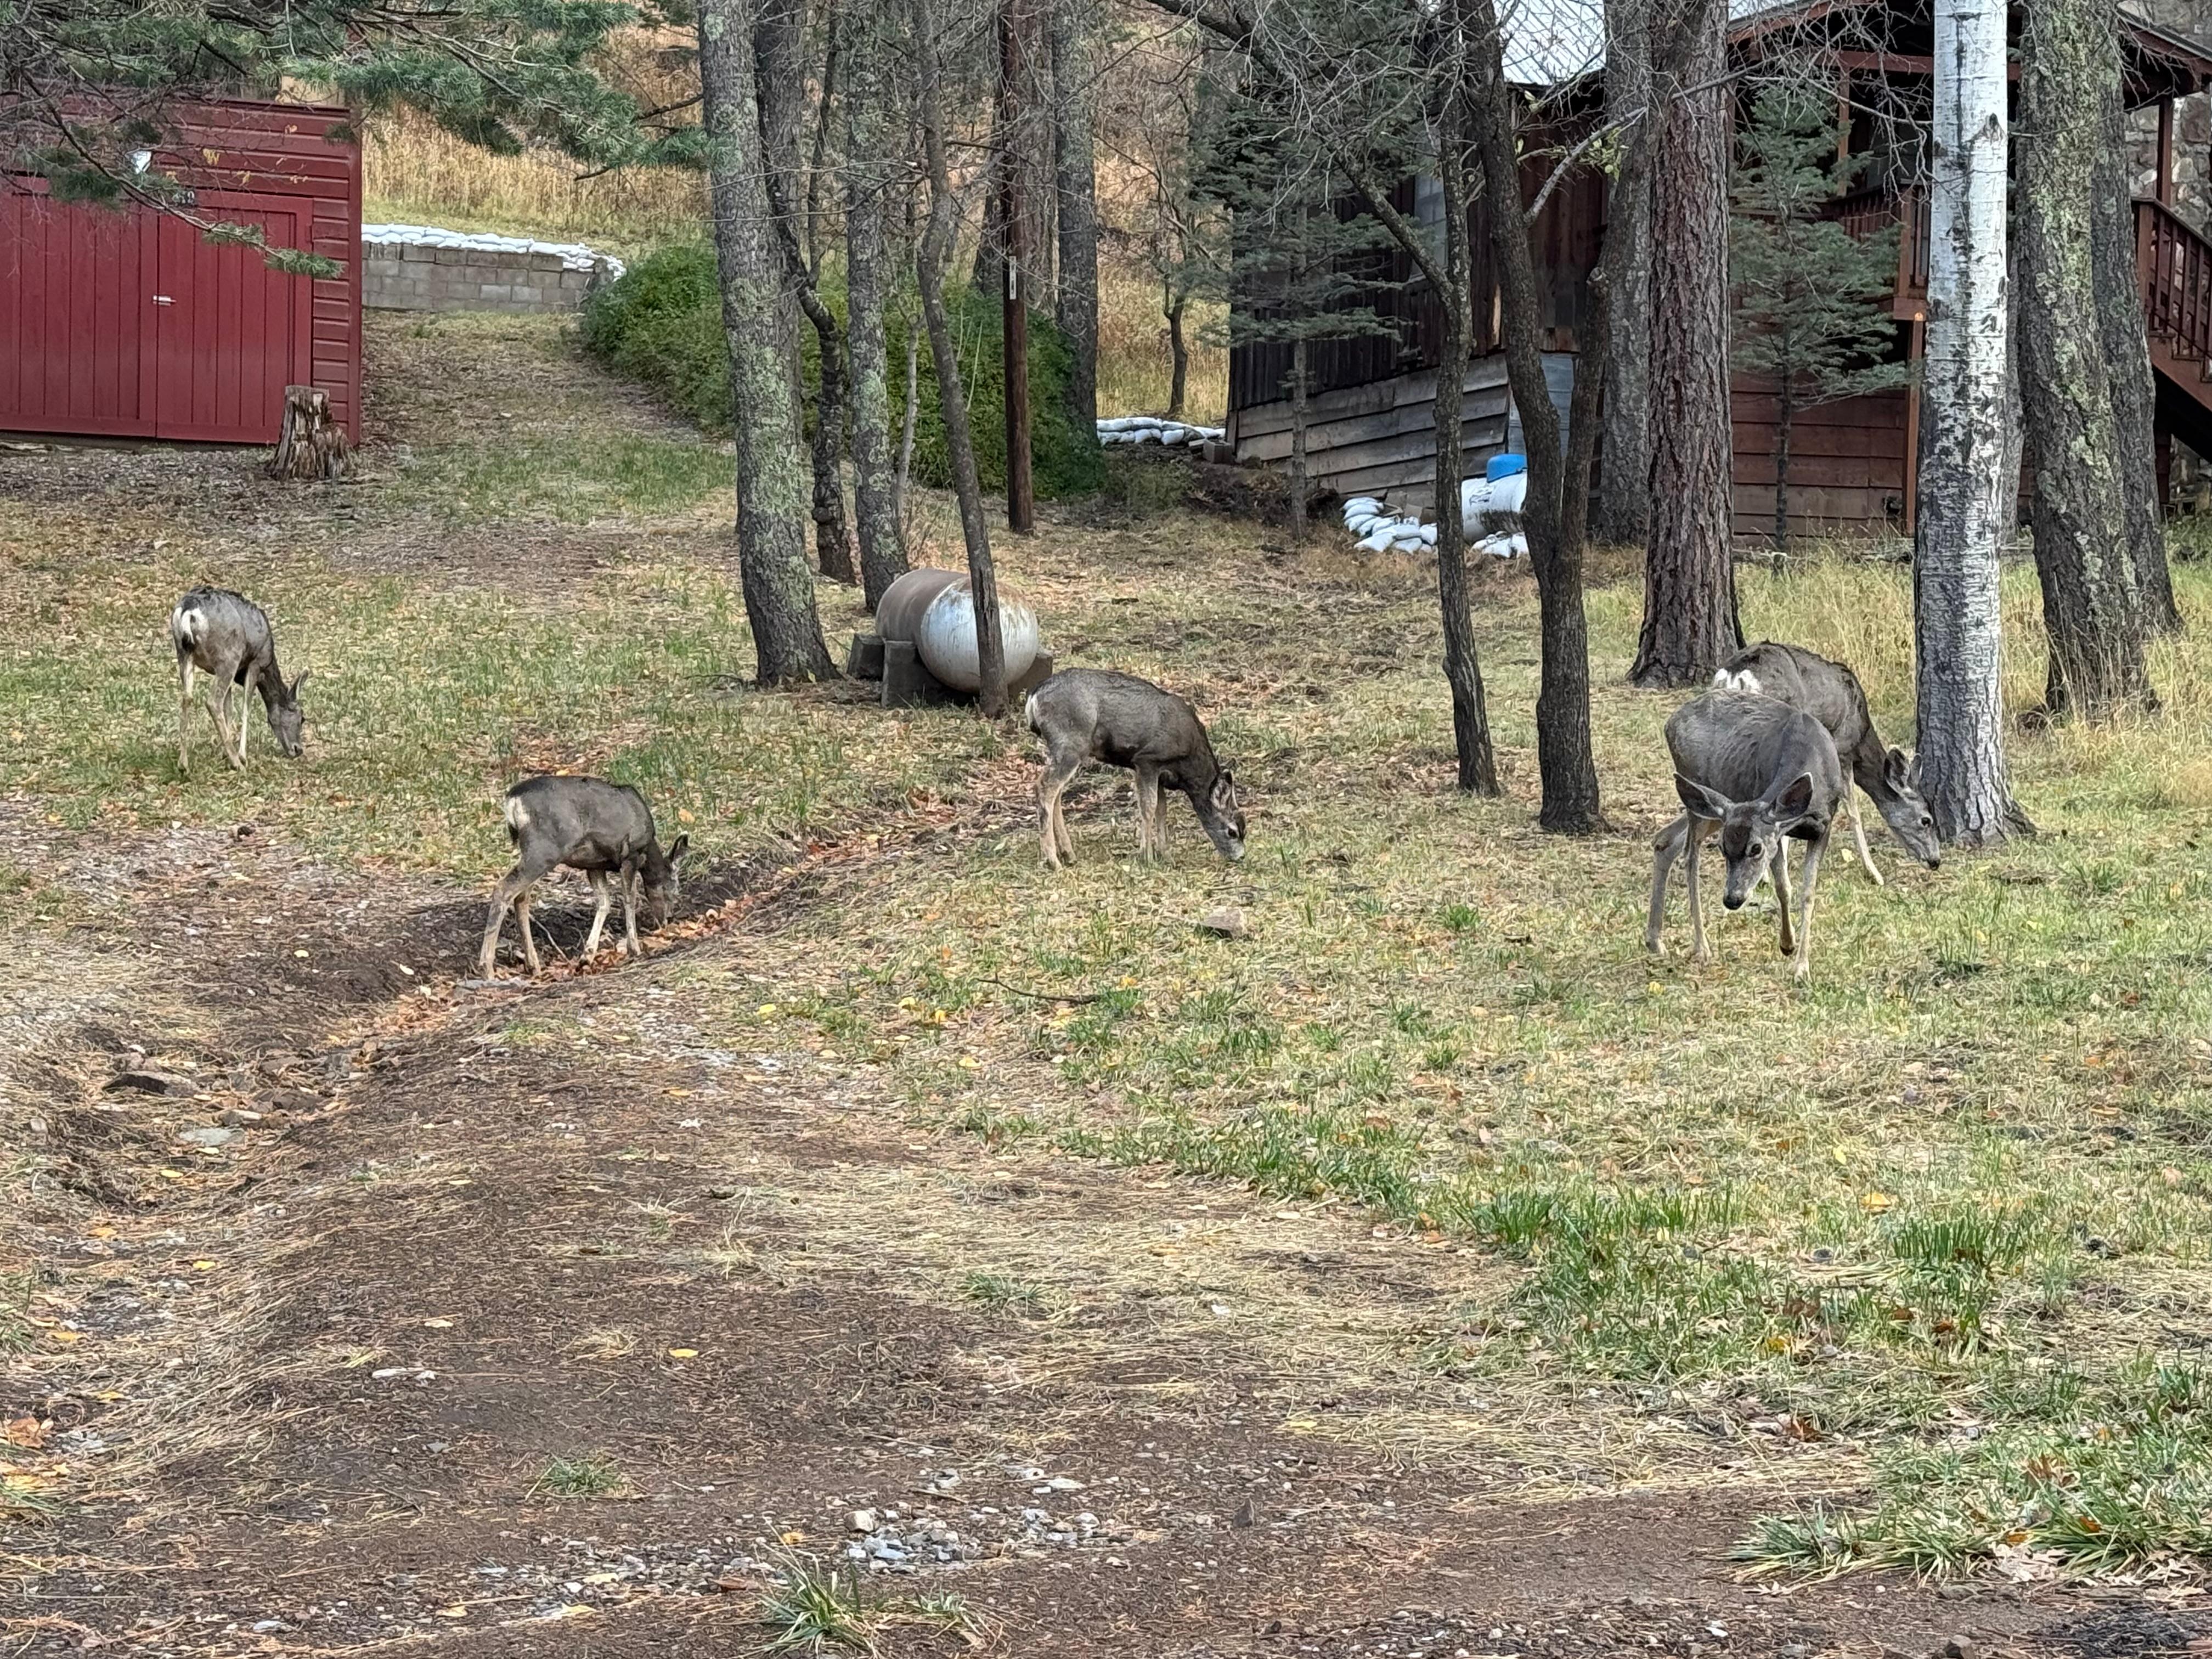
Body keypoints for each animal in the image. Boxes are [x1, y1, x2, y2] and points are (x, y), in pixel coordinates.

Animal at [169, 587, 309, 776]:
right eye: (302, 718)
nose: (298, 749)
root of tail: (189, 611)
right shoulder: (256, 663)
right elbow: (245, 707)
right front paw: (241, 755)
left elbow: (229, 708)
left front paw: (225, 753)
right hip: (229, 657)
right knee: (213, 702)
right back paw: (237, 764)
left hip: (184, 655)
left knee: (187, 697)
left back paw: (183, 764)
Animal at [477, 776, 689, 980]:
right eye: (675, 888)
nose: (667, 919)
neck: (648, 850)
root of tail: (513, 800)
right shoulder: (630, 855)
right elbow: (630, 900)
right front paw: (634, 949)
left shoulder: (594, 865)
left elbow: (604, 902)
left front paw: (587, 956)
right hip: (546, 848)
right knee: (505, 889)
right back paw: (487, 968)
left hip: (535, 851)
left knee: (521, 896)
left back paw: (533, 965)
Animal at [1025, 669, 1246, 868]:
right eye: (1232, 831)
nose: (1241, 857)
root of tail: (1034, 698)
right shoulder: (1147, 761)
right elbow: (1148, 807)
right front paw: (1147, 857)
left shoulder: (1160, 775)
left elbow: (1162, 810)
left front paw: (1166, 856)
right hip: (1071, 744)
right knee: (1045, 788)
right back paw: (1053, 861)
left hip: (1065, 749)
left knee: (1056, 793)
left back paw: (1068, 855)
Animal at [1645, 689, 1845, 980]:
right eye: (1722, 849)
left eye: (1756, 848)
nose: (1732, 899)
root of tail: (1669, 723)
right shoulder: (1776, 828)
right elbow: (1783, 887)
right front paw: (1787, 945)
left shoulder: (1824, 826)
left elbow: (1808, 892)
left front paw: (1801, 966)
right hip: (1700, 794)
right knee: (1690, 857)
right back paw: (1701, 947)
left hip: (1715, 807)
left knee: (1665, 840)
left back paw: (1654, 940)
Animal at [1707, 641, 1942, 883]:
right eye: (1926, 820)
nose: (1935, 861)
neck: (1862, 733)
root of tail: (1737, 675)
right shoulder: (1842, 748)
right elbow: (1853, 812)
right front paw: (1874, 873)